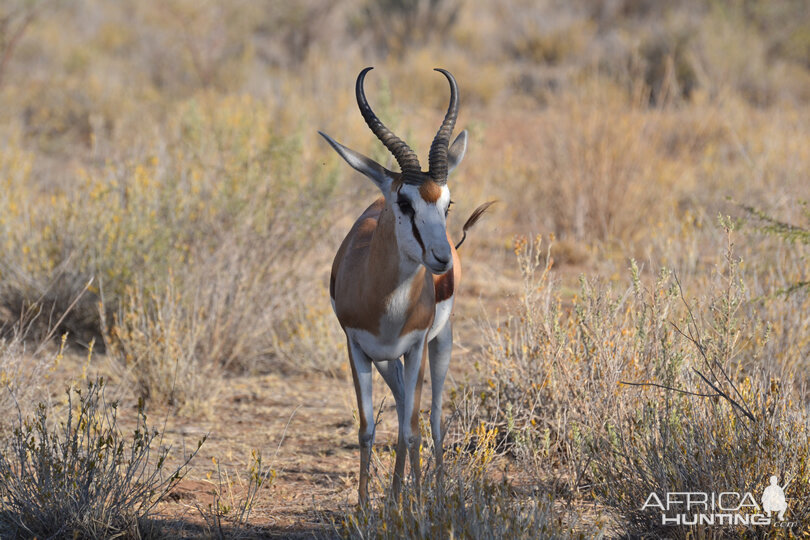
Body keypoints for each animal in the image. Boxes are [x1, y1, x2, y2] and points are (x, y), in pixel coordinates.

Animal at [318, 66, 490, 502]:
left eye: (447, 203)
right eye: (406, 203)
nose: (441, 259)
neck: (386, 304)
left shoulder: (415, 347)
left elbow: (413, 429)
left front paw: (412, 505)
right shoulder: (358, 348)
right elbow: (367, 430)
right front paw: (366, 506)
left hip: (439, 343)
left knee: (431, 418)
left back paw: (435, 492)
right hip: (386, 359)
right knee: (399, 410)